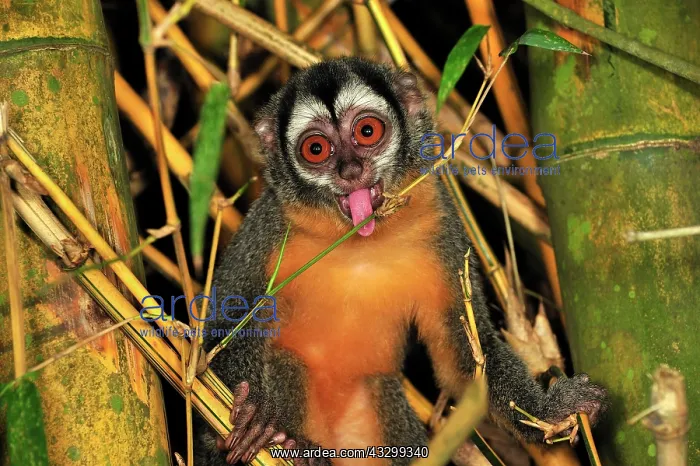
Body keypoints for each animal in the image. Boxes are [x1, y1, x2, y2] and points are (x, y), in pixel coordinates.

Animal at [194, 57, 606, 466]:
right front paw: (253, 415)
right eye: (315, 148)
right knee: (284, 361)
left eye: (367, 131)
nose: (350, 170)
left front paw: (551, 411)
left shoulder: (442, 222)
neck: (360, 239)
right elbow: (222, 326)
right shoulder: (267, 227)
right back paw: (293, 446)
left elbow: (466, 354)